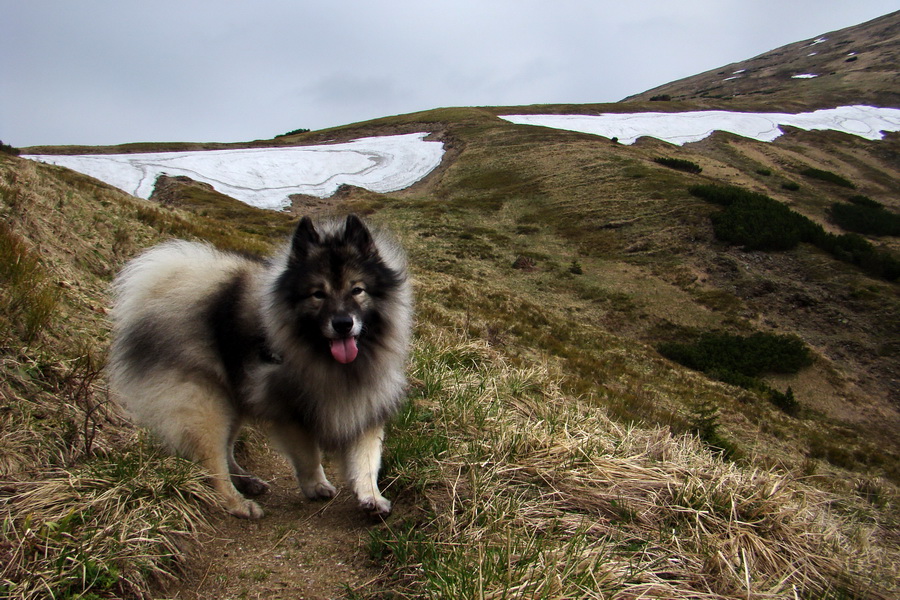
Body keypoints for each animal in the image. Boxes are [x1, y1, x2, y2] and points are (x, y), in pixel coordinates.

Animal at [107, 216, 414, 520]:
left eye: (357, 290)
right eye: (318, 294)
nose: (342, 323)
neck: (333, 363)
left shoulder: (365, 399)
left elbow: (367, 458)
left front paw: (371, 496)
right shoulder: (289, 412)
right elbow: (308, 455)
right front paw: (315, 485)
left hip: (233, 401)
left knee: (227, 449)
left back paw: (246, 481)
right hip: (206, 405)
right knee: (213, 463)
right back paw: (237, 502)